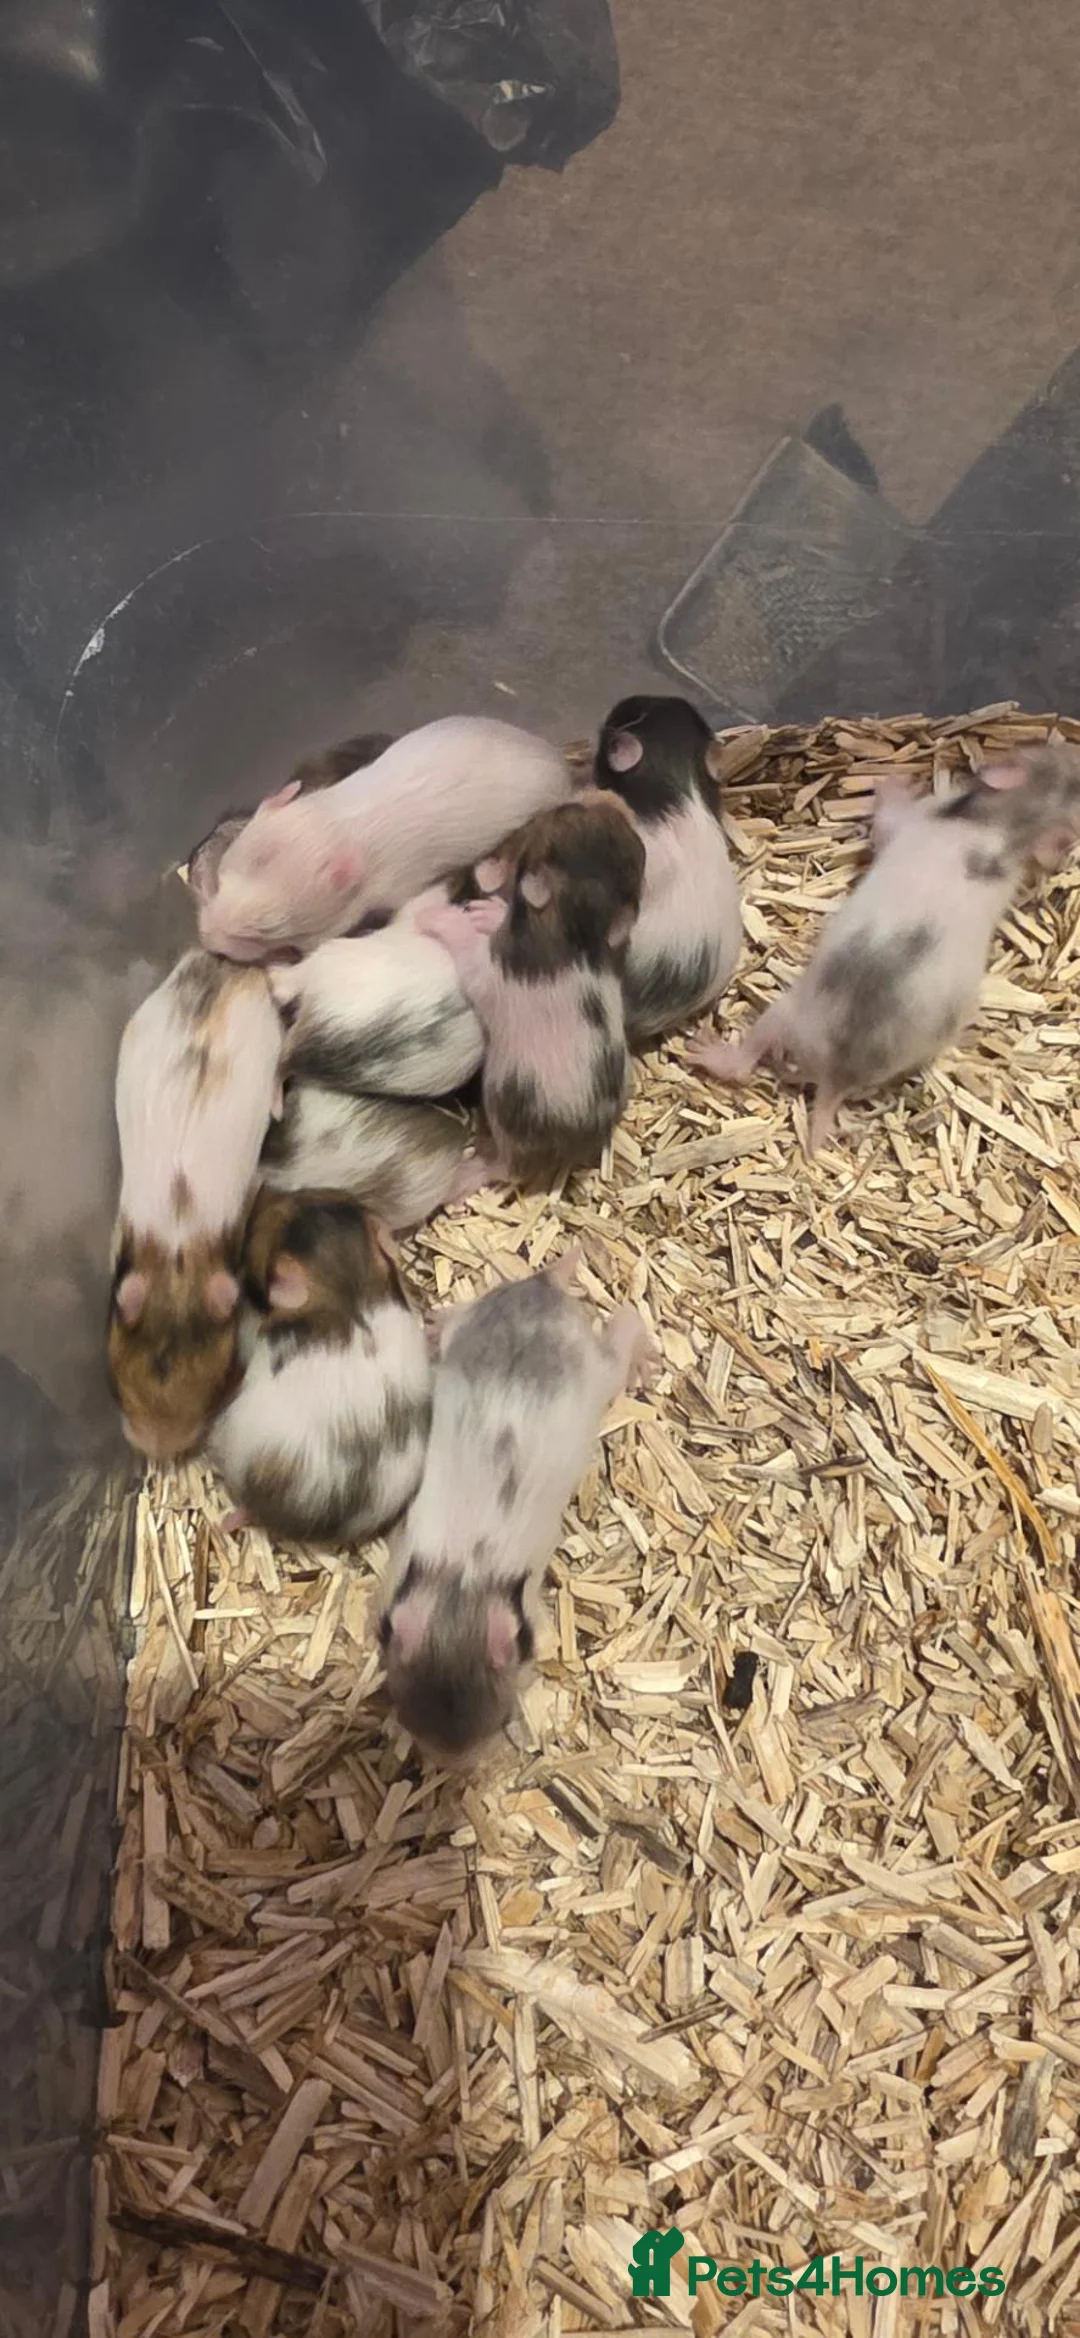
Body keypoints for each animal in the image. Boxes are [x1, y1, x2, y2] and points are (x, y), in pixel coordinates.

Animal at [378, 1252, 656, 1761]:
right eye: (406, 1716)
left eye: (505, 1720)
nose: (454, 1768)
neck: (462, 1585)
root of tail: (541, 1287)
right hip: (478, 1324)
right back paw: (437, 1323)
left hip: (597, 1369)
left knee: (625, 1325)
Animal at [411, 794, 646, 1189]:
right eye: (575, 811)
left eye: (562, 813)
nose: (614, 797)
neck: (578, 932)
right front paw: (489, 910)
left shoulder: (491, 973)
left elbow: (471, 957)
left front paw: (449, 918)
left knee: (505, 1169)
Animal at [690, 744, 1080, 1154]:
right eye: (1059, 755)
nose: (1068, 746)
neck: (1014, 822)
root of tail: (837, 1073)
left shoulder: (913, 821)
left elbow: (885, 828)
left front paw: (895, 784)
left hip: (789, 1014)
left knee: (745, 1061)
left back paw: (709, 1054)